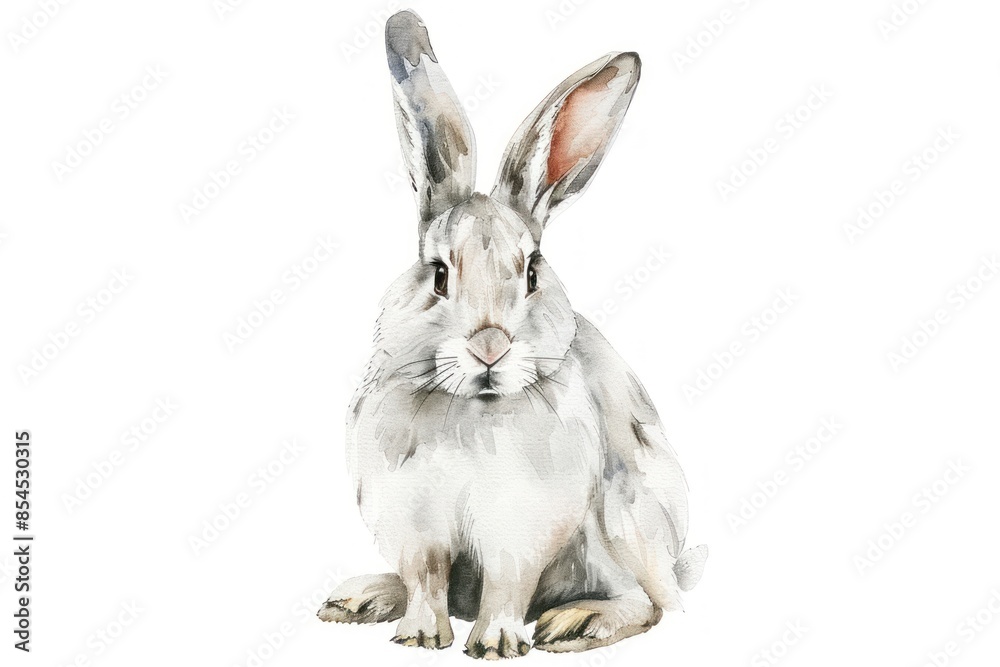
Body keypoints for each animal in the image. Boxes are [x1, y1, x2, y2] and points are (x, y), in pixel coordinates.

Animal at [318, 9, 707, 659]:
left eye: (531, 272)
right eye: (439, 274)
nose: (490, 347)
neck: (471, 405)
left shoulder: (520, 527)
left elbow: (507, 584)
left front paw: (496, 644)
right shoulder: (415, 523)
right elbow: (426, 578)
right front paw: (420, 637)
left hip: (628, 526)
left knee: (650, 603)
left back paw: (574, 624)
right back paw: (358, 598)